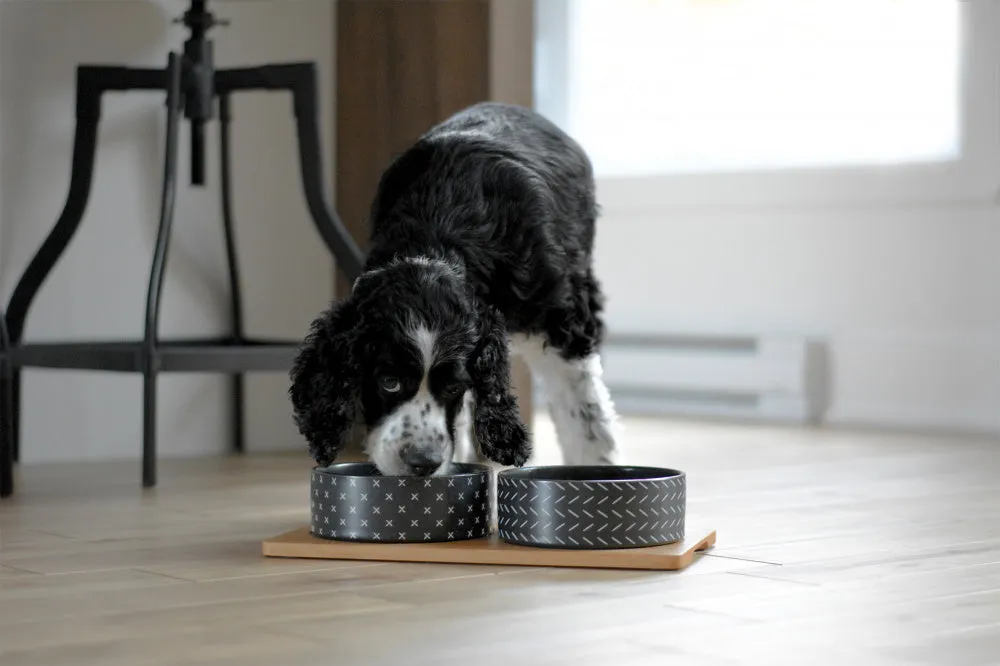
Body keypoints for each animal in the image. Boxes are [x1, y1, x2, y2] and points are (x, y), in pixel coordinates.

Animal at [288, 101, 616, 474]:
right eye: (389, 382)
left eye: (453, 386)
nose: (423, 463)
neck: (438, 234)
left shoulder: (565, 324)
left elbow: (585, 414)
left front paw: (596, 469)